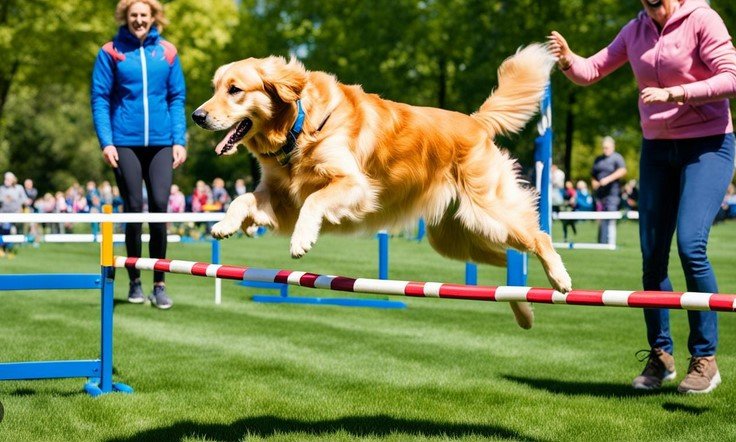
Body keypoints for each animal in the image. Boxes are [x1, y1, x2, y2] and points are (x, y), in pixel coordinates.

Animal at [193, 45, 572, 328]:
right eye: (215, 88)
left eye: (234, 90)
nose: (197, 116)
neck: (299, 126)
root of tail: (475, 122)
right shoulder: (281, 197)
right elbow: (242, 198)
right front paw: (227, 224)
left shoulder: (356, 186)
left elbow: (315, 200)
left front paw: (301, 240)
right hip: (454, 237)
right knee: (509, 265)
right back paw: (524, 312)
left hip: (489, 211)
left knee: (538, 238)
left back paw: (560, 280)